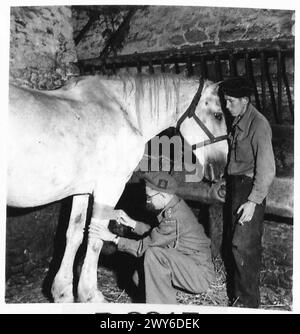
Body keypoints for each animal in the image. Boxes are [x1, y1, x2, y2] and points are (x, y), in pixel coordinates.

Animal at [7, 73, 227, 302]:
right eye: (218, 115)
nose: (222, 165)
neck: (123, 111)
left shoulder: (82, 190)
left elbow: (74, 235)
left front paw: (63, 292)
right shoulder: (110, 186)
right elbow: (95, 238)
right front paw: (89, 294)